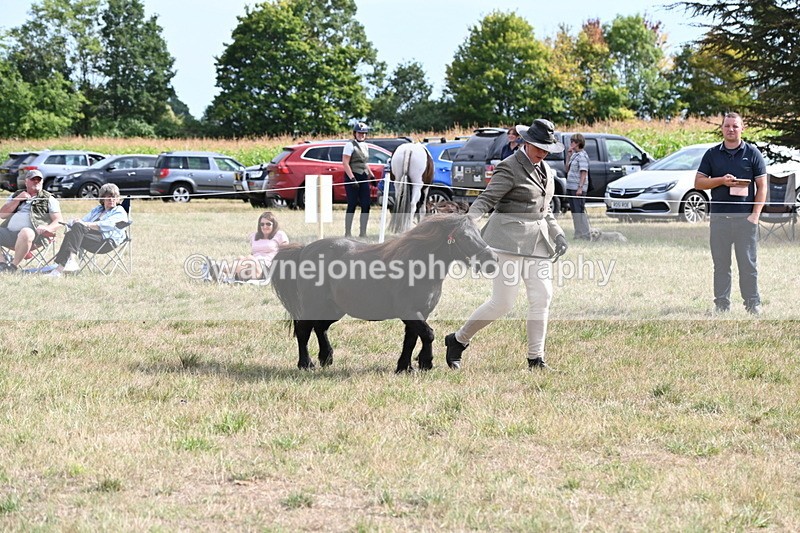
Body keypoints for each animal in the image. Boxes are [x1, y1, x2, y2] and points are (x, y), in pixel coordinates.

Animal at [270, 214, 498, 373]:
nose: (492, 260)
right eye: (465, 236)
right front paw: (425, 363)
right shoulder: (410, 312)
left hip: (334, 308)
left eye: (479, 233)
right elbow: (428, 334)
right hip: (313, 305)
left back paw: (326, 358)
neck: (417, 265)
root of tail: (304, 250)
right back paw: (306, 364)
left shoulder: (418, 314)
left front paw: (405, 367)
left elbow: (411, 339)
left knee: (320, 328)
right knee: (303, 331)